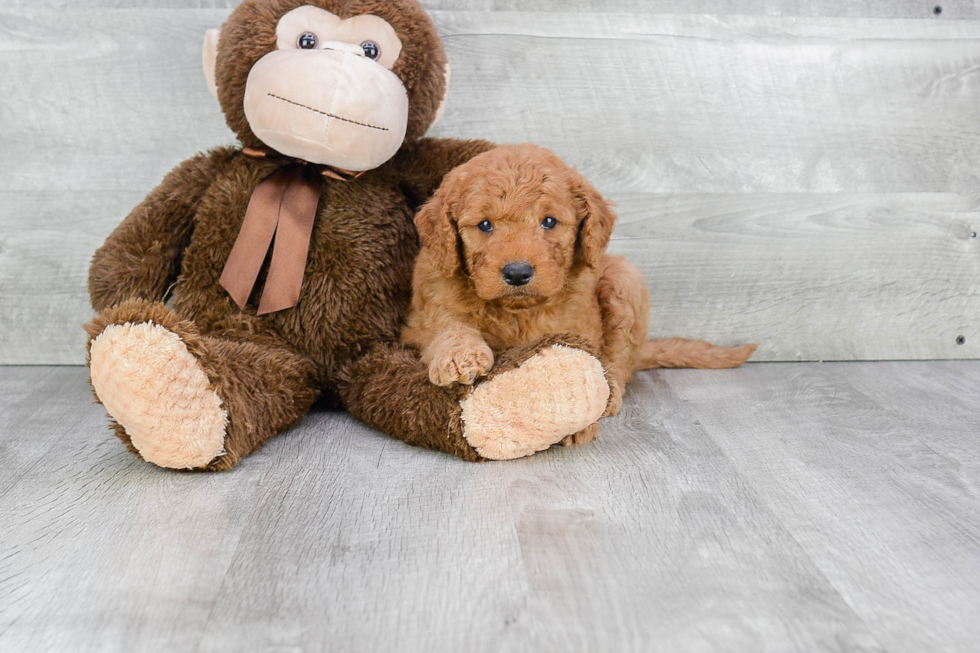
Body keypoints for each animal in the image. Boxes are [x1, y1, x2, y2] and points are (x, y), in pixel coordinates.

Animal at [402, 145, 756, 446]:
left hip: (624, 279)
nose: (517, 273)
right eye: (485, 225)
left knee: (619, 360)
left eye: (549, 221)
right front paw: (460, 357)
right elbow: (450, 329)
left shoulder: (576, 325)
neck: (515, 310)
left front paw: (576, 420)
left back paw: (611, 394)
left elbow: (579, 365)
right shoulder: (430, 306)